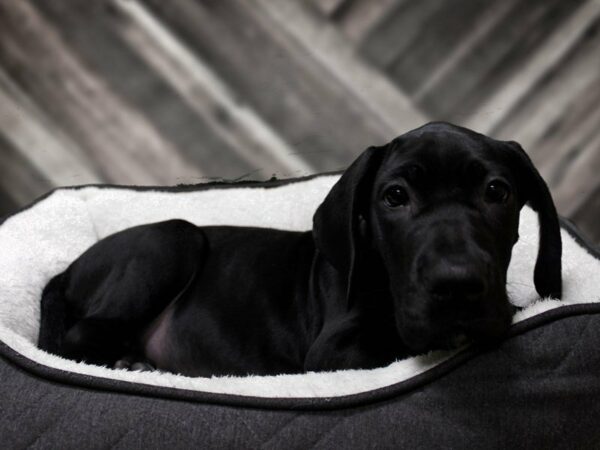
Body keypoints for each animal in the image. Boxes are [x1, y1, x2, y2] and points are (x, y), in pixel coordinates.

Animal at [38, 122, 564, 376]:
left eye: (497, 192)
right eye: (394, 197)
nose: (456, 285)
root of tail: (67, 269)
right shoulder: (335, 351)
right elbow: (401, 343)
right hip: (173, 238)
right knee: (76, 341)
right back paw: (129, 364)